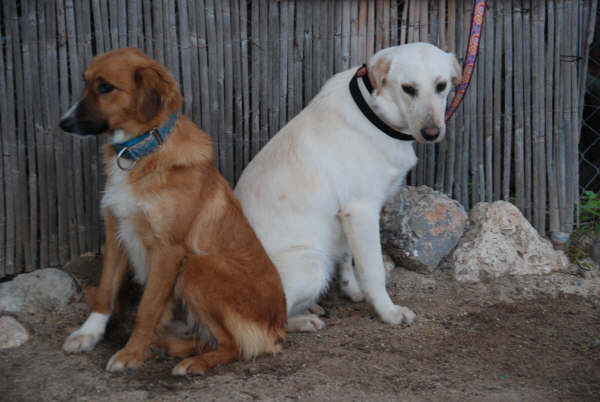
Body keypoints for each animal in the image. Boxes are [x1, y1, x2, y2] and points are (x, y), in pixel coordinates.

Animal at [59, 48, 284, 376]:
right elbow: (105, 292)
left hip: (196, 267)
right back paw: (165, 347)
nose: (63, 123)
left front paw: (131, 353)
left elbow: (147, 307)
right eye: (86, 83)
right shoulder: (116, 233)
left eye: (105, 87)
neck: (142, 151)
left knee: (233, 346)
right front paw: (88, 334)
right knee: (206, 339)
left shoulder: (168, 249)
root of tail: (279, 324)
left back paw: (193, 363)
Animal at [233, 42, 460, 332]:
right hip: (312, 263)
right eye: (408, 88)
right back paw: (304, 320)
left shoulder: (348, 217)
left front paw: (351, 291)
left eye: (441, 85)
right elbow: (372, 270)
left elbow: (347, 259)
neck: (375, 114)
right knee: (264, 322)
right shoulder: (362, 211)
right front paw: (389, 312)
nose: (432, 133)